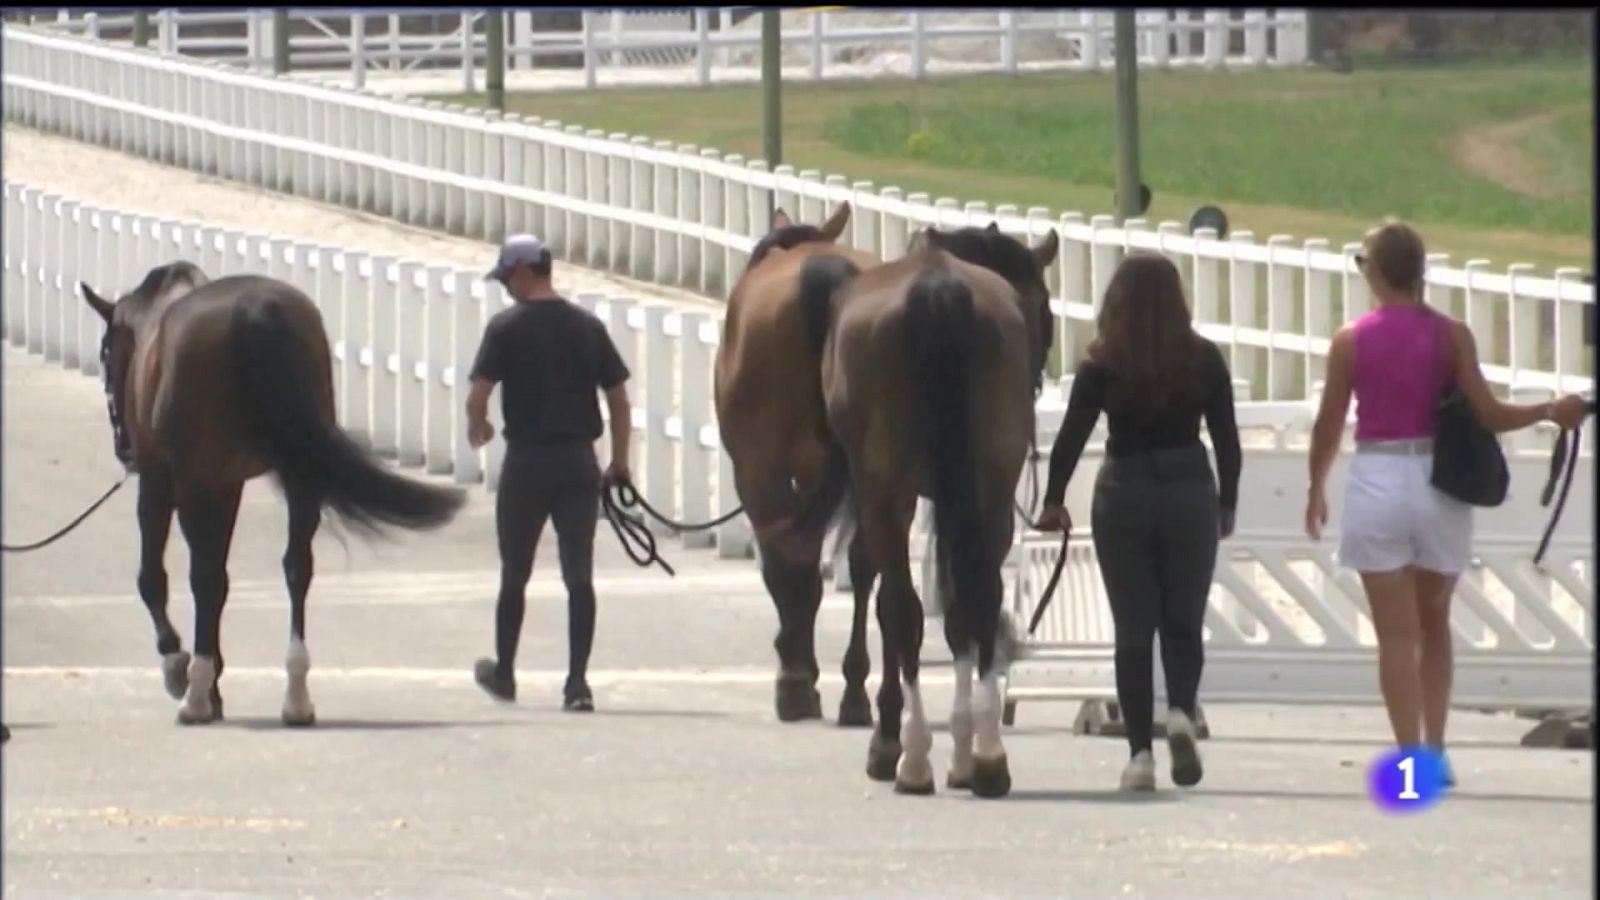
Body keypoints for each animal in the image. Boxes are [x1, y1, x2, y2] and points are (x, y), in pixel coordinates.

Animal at [82, 259, 467, 720]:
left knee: (204, 576)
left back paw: (196, 696)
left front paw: (180, 665)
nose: (123, 446)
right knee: (296, 567)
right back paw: (295, 696)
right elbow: (223, 577)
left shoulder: (163, 482)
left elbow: (156, 577)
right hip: (301, 477)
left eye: (106, 354)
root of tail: (257, 312)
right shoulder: (225, 485)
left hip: (193, 484)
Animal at [790, 220, 1062, 794]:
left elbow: (880, 591)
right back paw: (985, 757)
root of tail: (940, 291)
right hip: (991, 491)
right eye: (1045, 312)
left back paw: (911, 756)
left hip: (886, 489)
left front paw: (886, 733)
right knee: (977, 601)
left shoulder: (885, 495)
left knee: (902, 608)